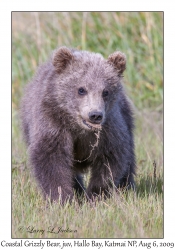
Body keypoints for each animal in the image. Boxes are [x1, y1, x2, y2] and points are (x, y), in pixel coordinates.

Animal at [20, 46, 135, 203]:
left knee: (129, 160)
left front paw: (95, 196)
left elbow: (111, 159)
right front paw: (62, 198)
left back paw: (127, 188)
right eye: (81, 89)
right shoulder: (52, 121)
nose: (95, 115)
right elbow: (51, 158)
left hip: (126, 117)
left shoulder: (109, 128)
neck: (78, 127)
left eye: (105, 92)